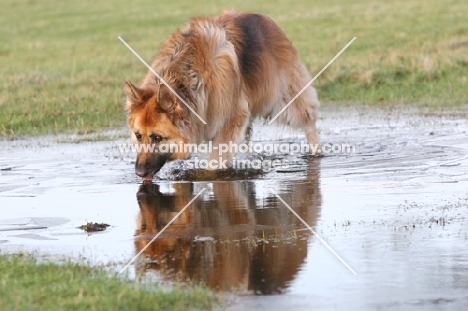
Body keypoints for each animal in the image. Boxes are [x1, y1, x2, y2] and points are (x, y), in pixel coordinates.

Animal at [124, 11, 320, 183]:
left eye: (157, 138)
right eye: (138, 136)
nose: (139, 173)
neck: (190, 79)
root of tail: (263, 18)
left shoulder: (230, 124)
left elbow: (214, 162)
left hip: (286, 105)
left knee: (309, 122)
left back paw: (316, 152)